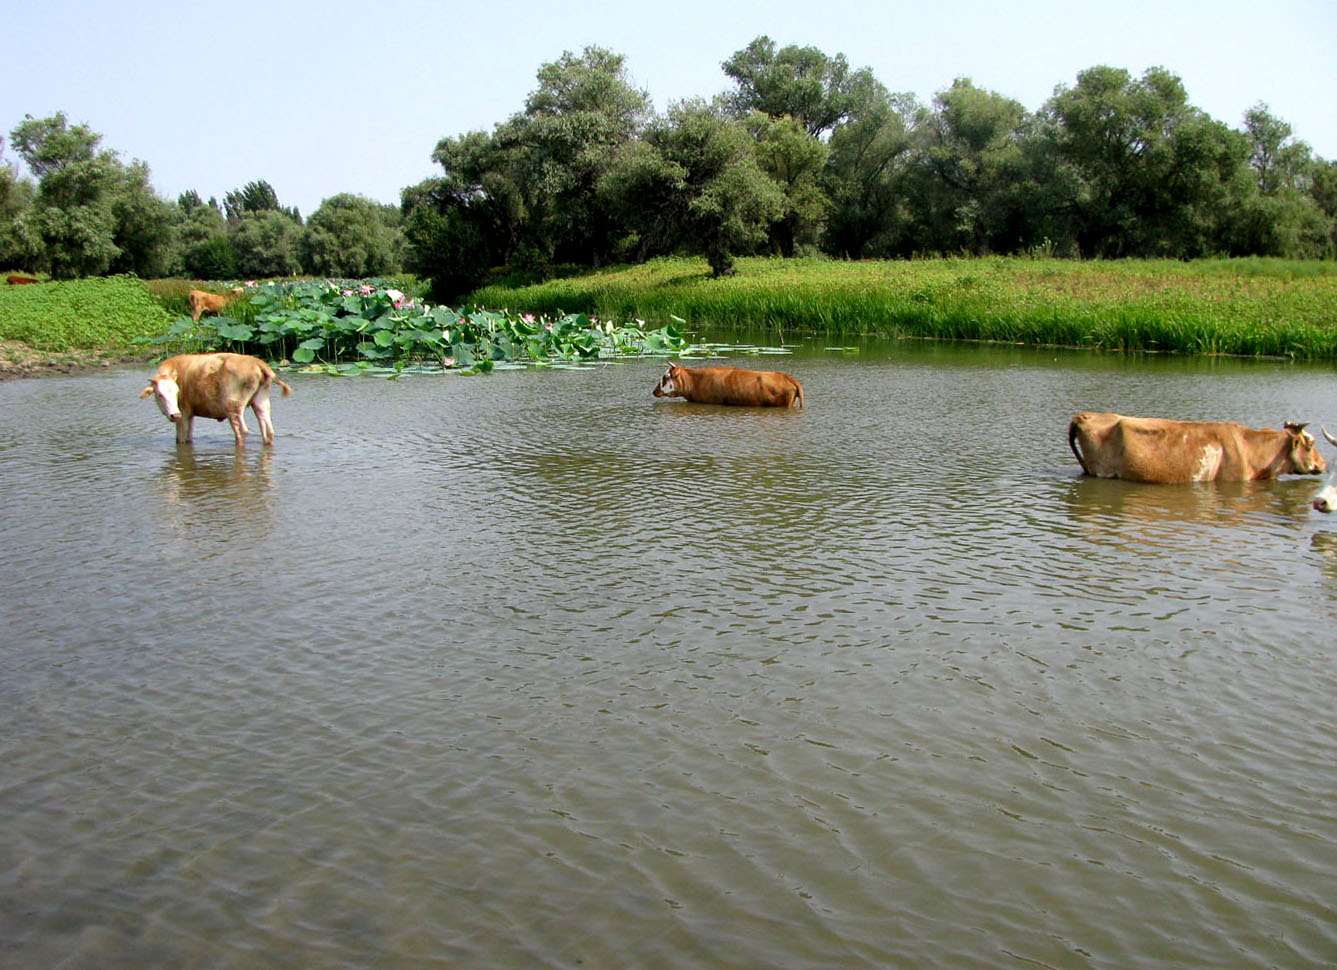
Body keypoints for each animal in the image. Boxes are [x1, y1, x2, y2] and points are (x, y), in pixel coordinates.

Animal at [142, 352, 291, 448]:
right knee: (268, 429)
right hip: (261, 402)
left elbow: (180, 439)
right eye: (160, 394)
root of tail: (257, 362)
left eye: (177, 392)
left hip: (233, 407)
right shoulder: (189, 413)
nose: (174, 415)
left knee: (242, 431)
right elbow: (189, 437)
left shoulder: (183, 414)